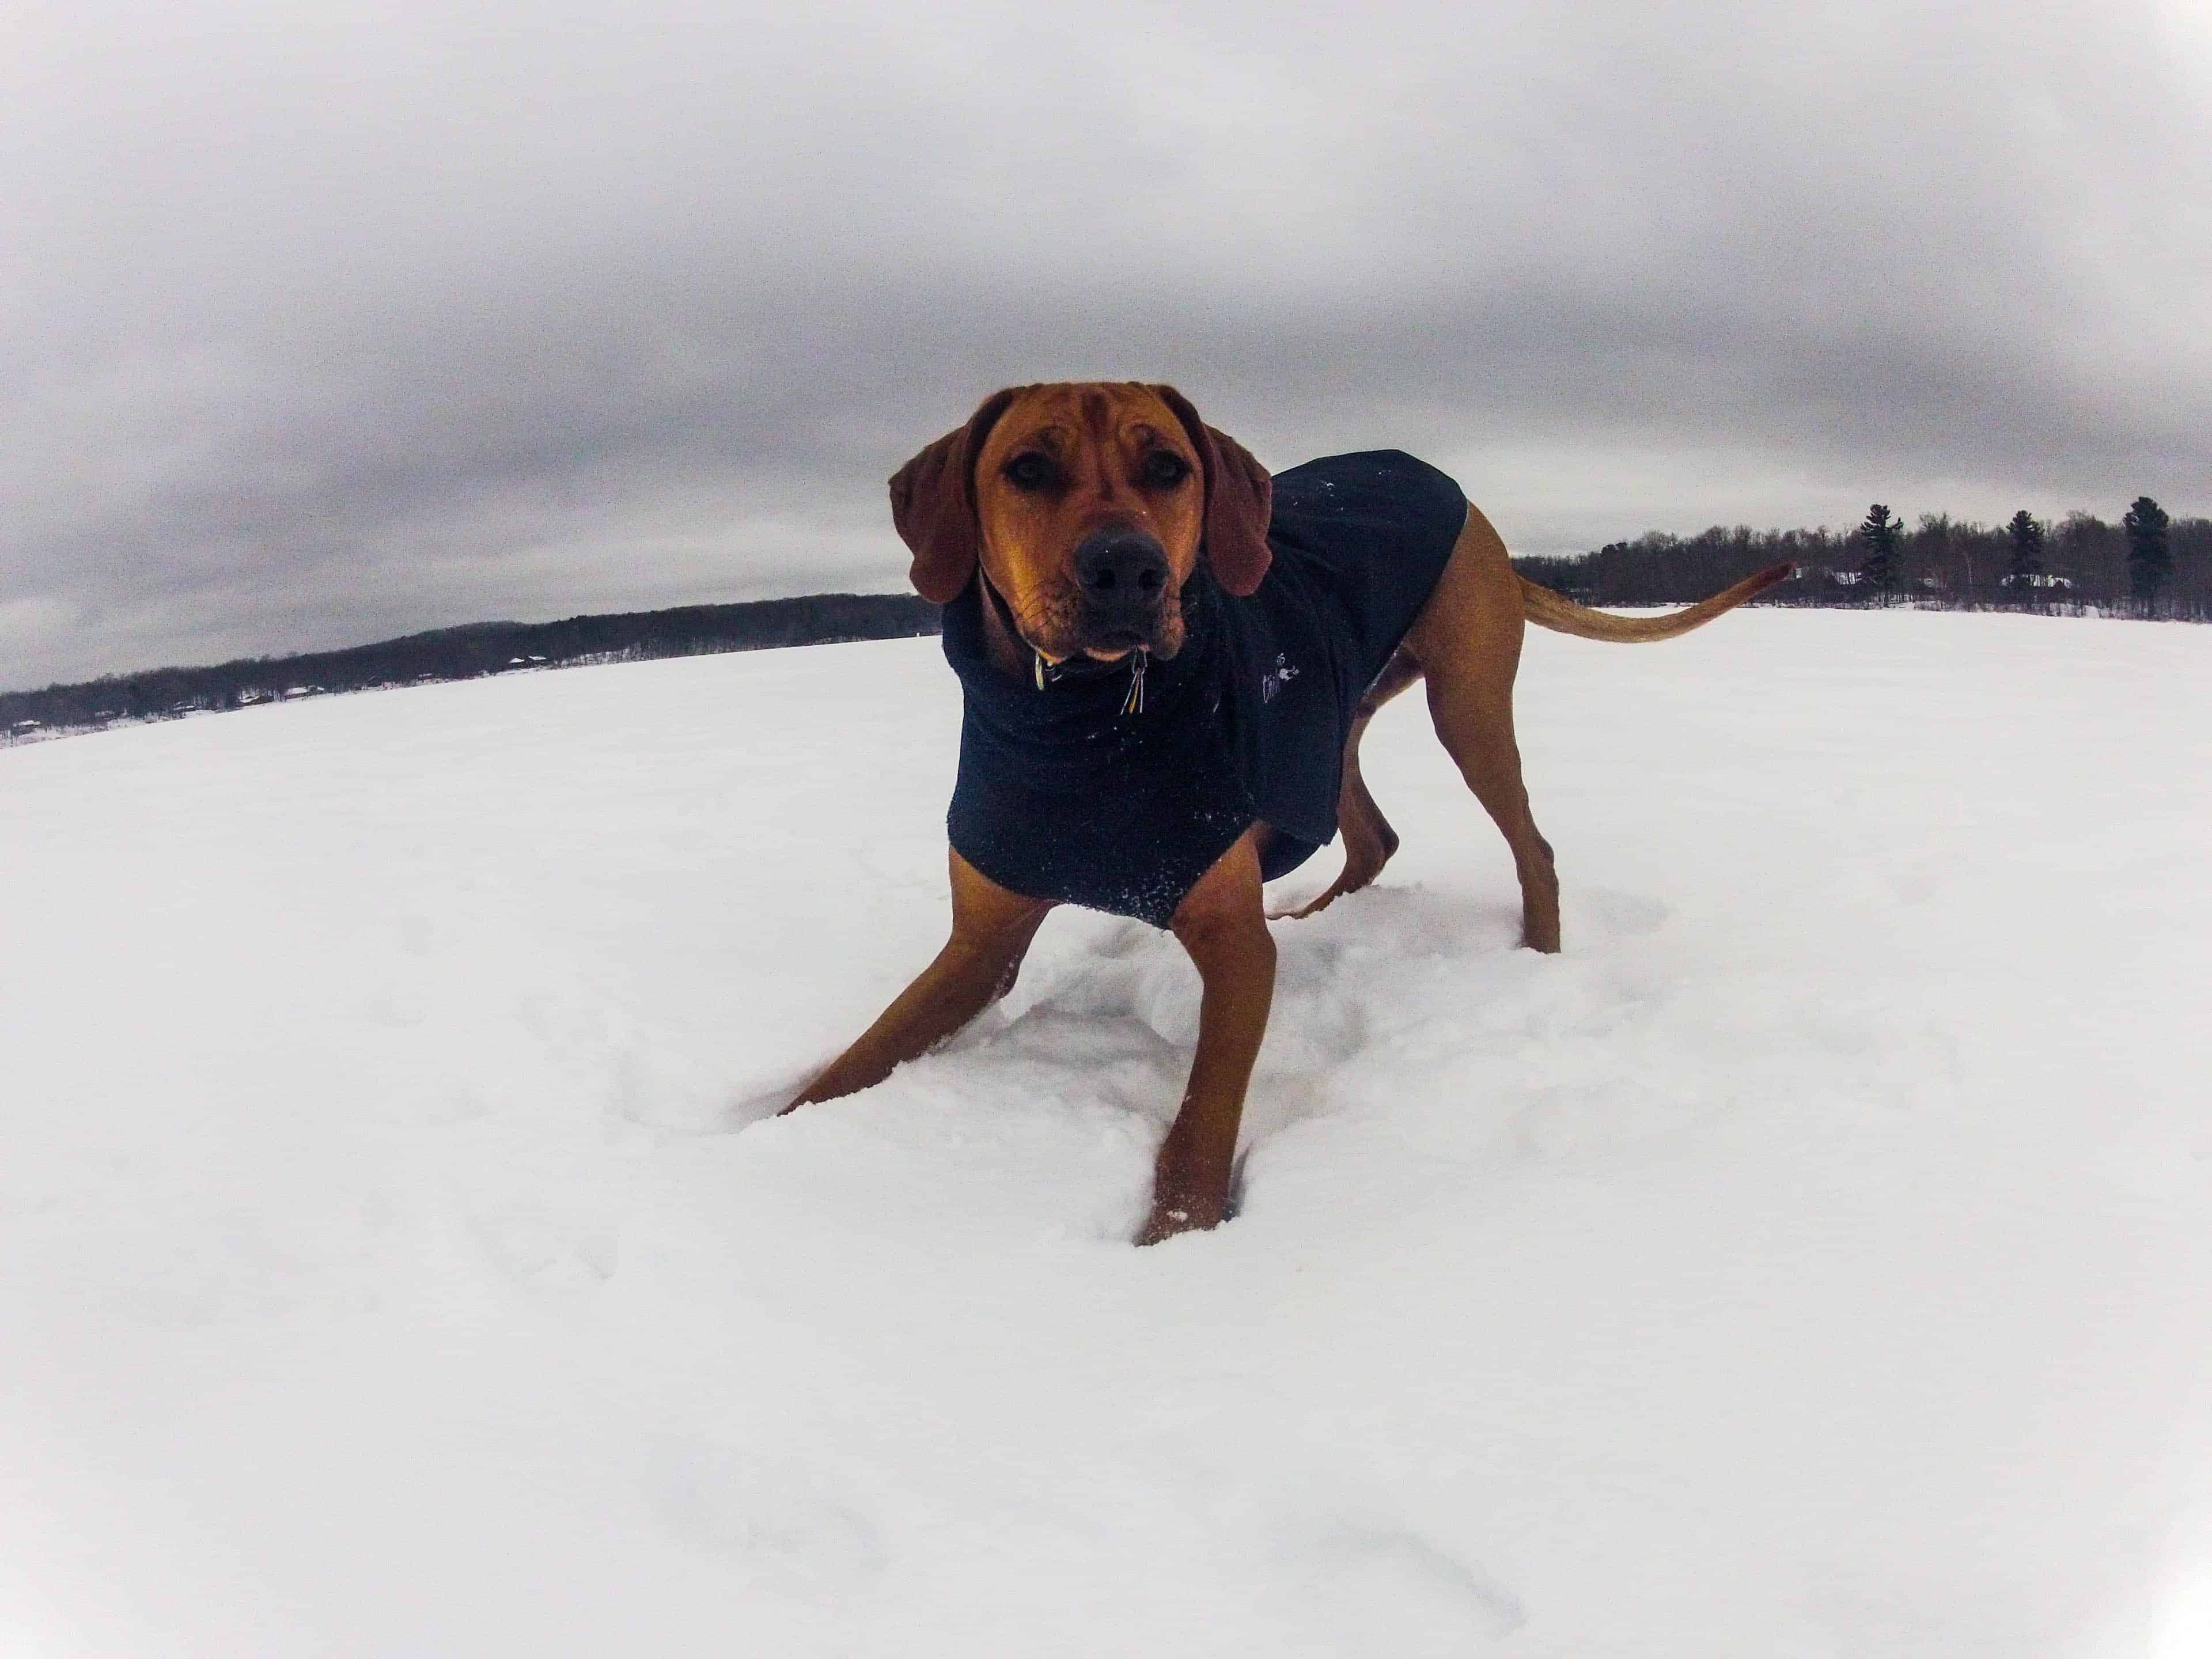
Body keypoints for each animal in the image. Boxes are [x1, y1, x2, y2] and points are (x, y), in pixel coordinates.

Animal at [787, 382, 1787, 1238]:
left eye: (1169, 468)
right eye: (1027, 469)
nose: (1128, 568)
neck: (1082, 722)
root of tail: (1460, 497)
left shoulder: (1233, 945)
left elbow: (1202, 1121)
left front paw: (1176, 1238)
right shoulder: (981, 942)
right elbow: (858, 1060)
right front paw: (775, 1135)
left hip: (1463, 703)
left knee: (1529, 845)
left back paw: (1536, 957)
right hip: (1323, 723)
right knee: (1375, 836)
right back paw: (1318, 913)